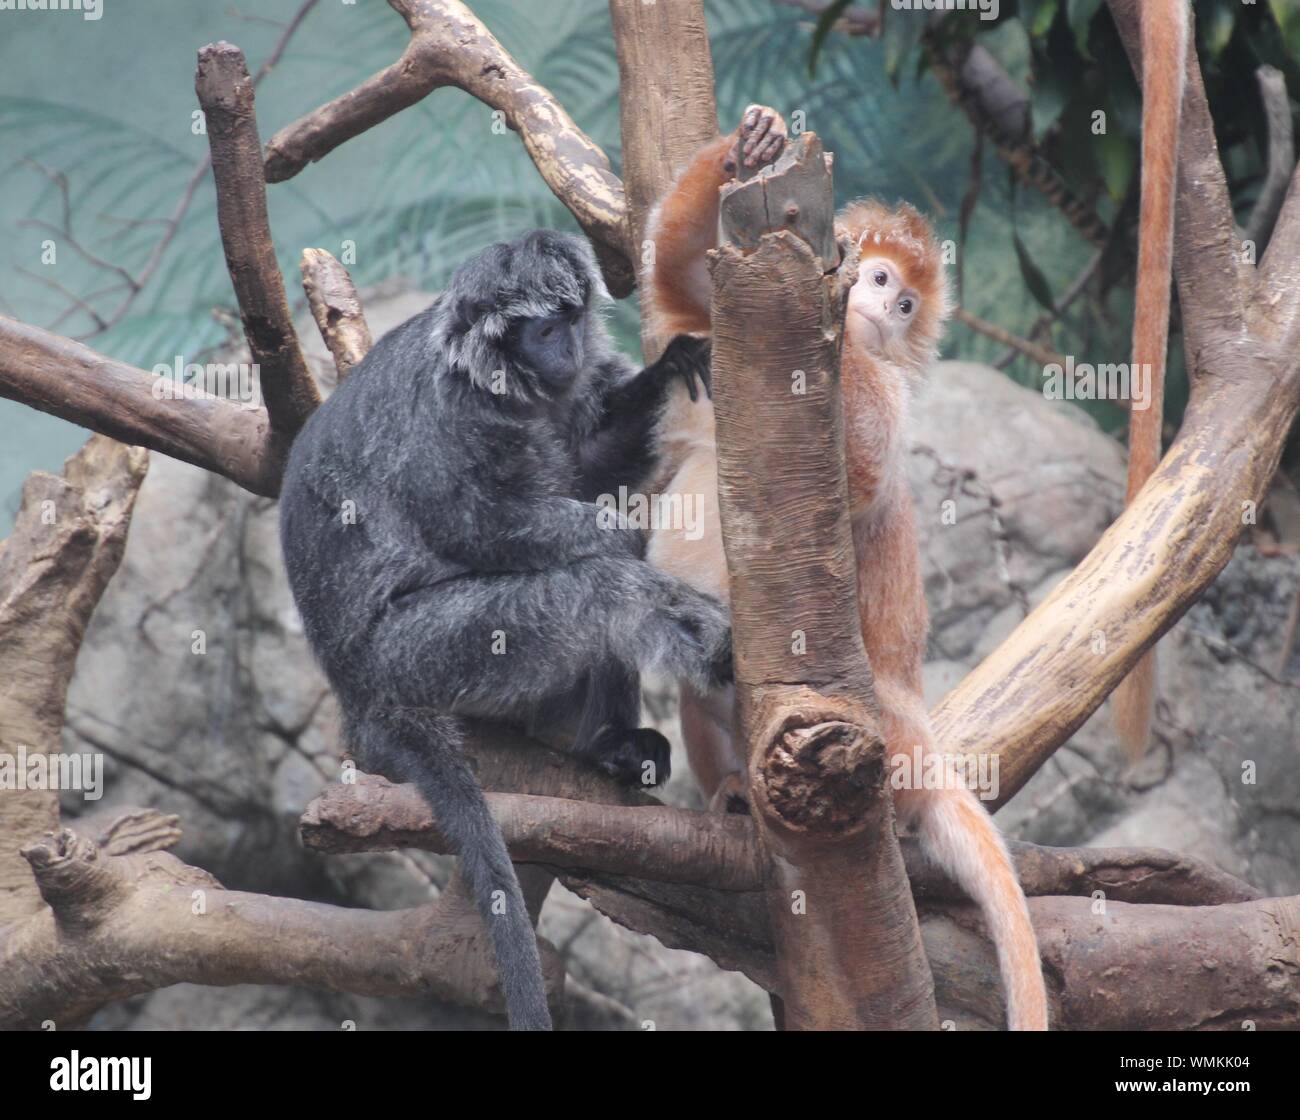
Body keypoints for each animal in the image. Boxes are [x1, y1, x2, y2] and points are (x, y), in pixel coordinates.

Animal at [278, 230, 733, 1032]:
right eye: (540, 329)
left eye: (570, 318)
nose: (564, 347)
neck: (503, 385)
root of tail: (358, 696)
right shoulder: (456, 420)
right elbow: (477, 523)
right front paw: (627, 533)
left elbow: (585, 465)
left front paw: (665, 371)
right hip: (425, 651)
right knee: (595, 585)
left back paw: (607, 748)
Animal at [643, 106, 1049, 1031]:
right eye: (881, 279)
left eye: (904, 303)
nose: (880, 310)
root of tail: (916, 728)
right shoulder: (712, 319)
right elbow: (672, 265)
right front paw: (747, 146)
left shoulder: (883, 398)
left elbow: (862, 471)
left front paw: (848, 348)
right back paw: (732, 796)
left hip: (874, 740)